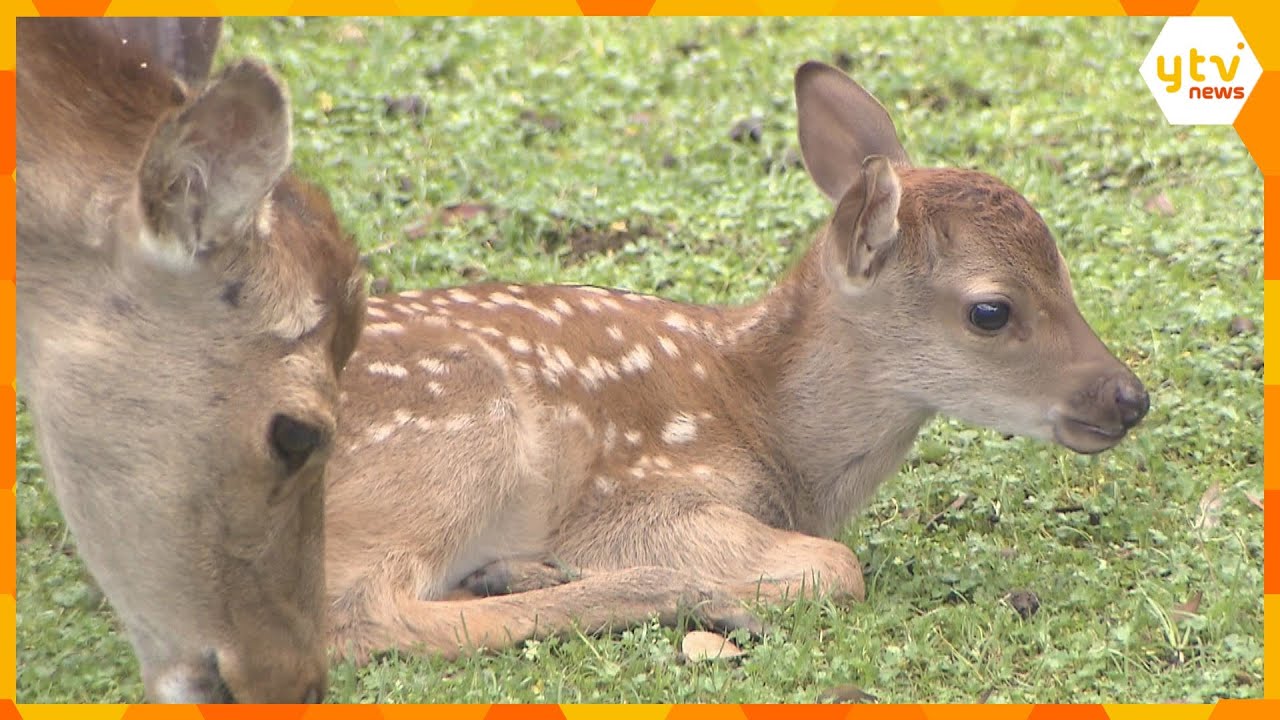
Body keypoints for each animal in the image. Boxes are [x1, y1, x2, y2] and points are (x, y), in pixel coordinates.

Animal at [322, 60, 1150, 663]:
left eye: (1065, 272)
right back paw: (670, 595)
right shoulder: (636, 498)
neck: (770, 427)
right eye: (990, 310)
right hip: (461, 426)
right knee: (361, 617)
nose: (1128, 397)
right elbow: (838, 566)